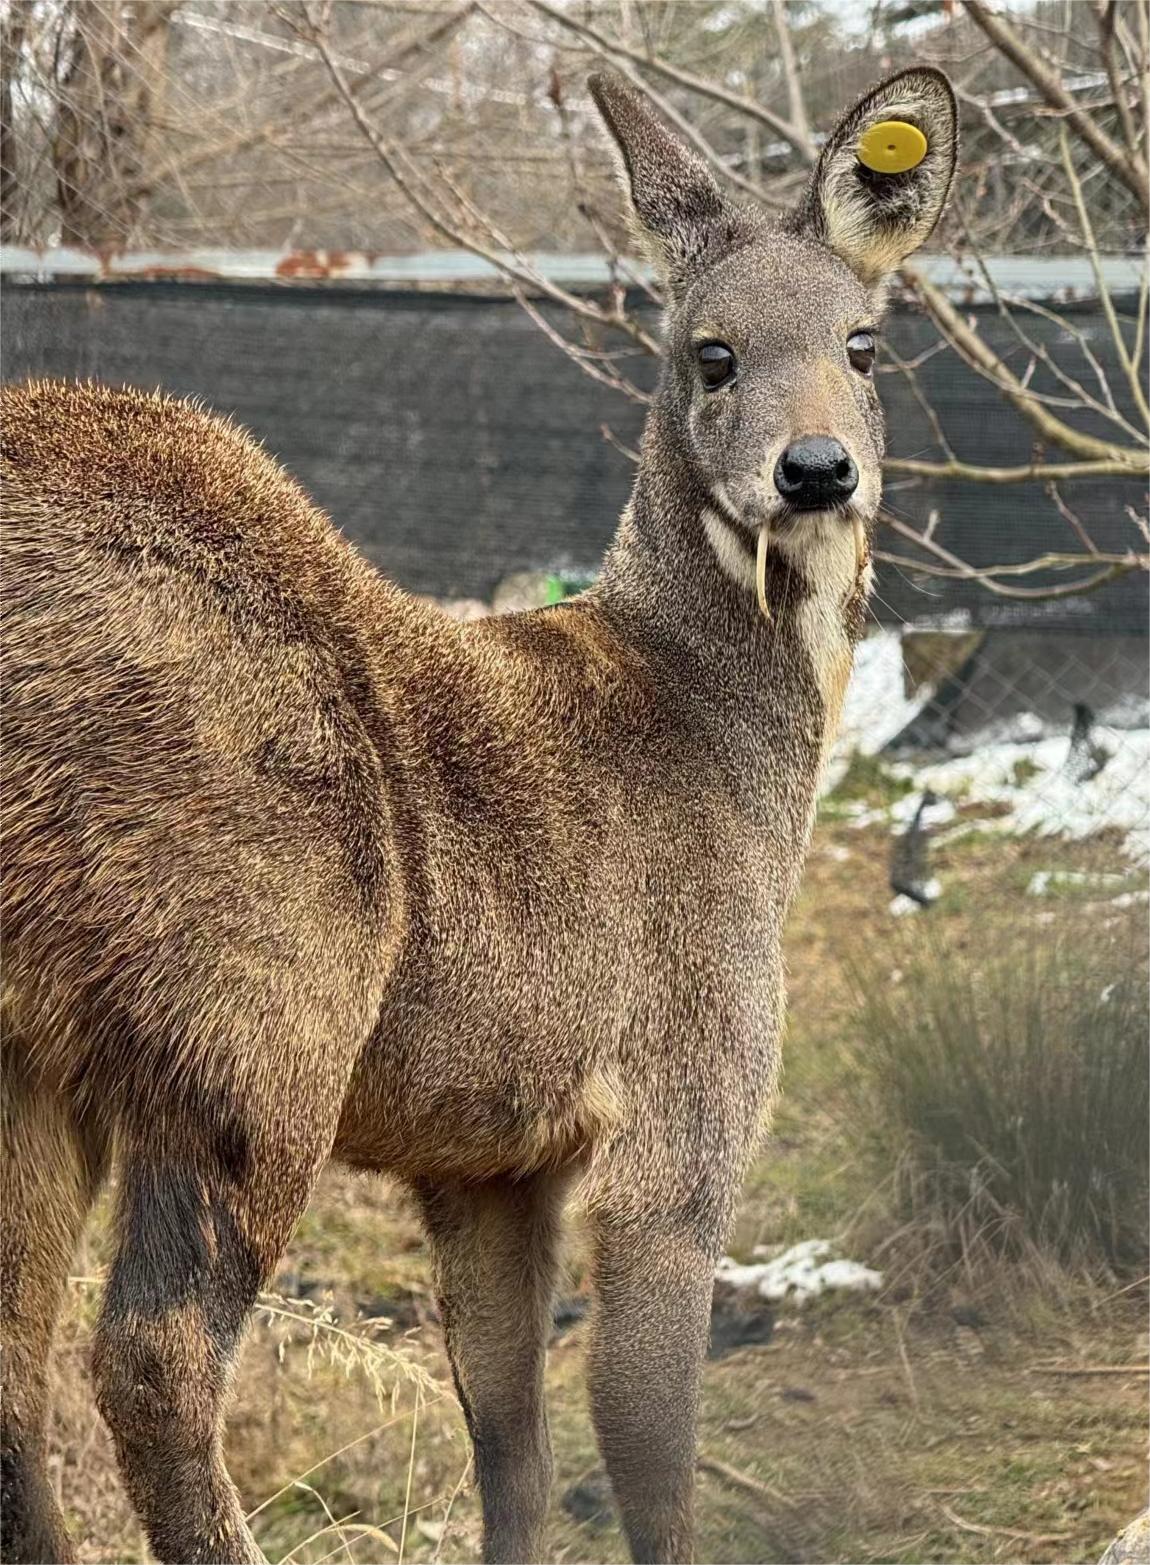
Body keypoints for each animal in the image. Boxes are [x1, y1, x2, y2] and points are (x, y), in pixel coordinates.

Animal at [0, 64, 957, 1565]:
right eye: (709, 353)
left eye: (864, 346)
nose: (814, 470)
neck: (709, 738)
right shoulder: (684, 1103)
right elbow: (647, 1453)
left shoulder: (487, 1158)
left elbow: (510, 1437)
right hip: (253, 1003)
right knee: (150, 1358)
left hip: (41, 1050)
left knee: (13, 1353)